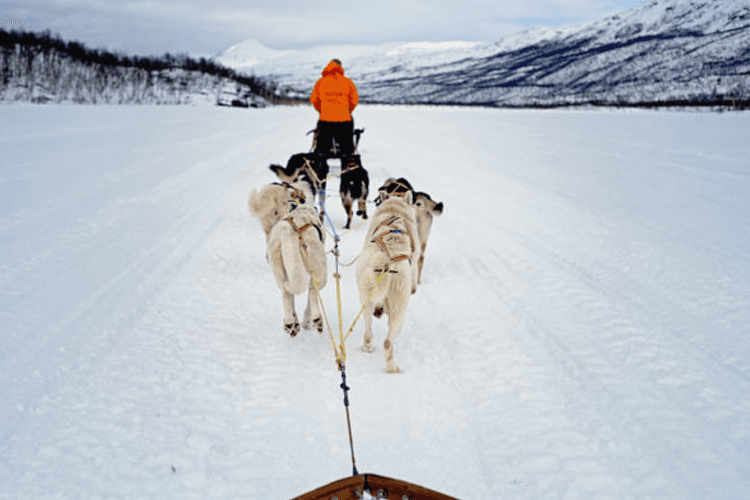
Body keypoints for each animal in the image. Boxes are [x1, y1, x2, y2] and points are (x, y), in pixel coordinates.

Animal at [356, 193, 424, 374]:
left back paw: (367, 346)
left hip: (365, 300)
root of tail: (385, 261)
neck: (394, 211)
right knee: (387, 342)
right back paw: (393, 368)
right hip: (399, 311)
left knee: (368, 330)